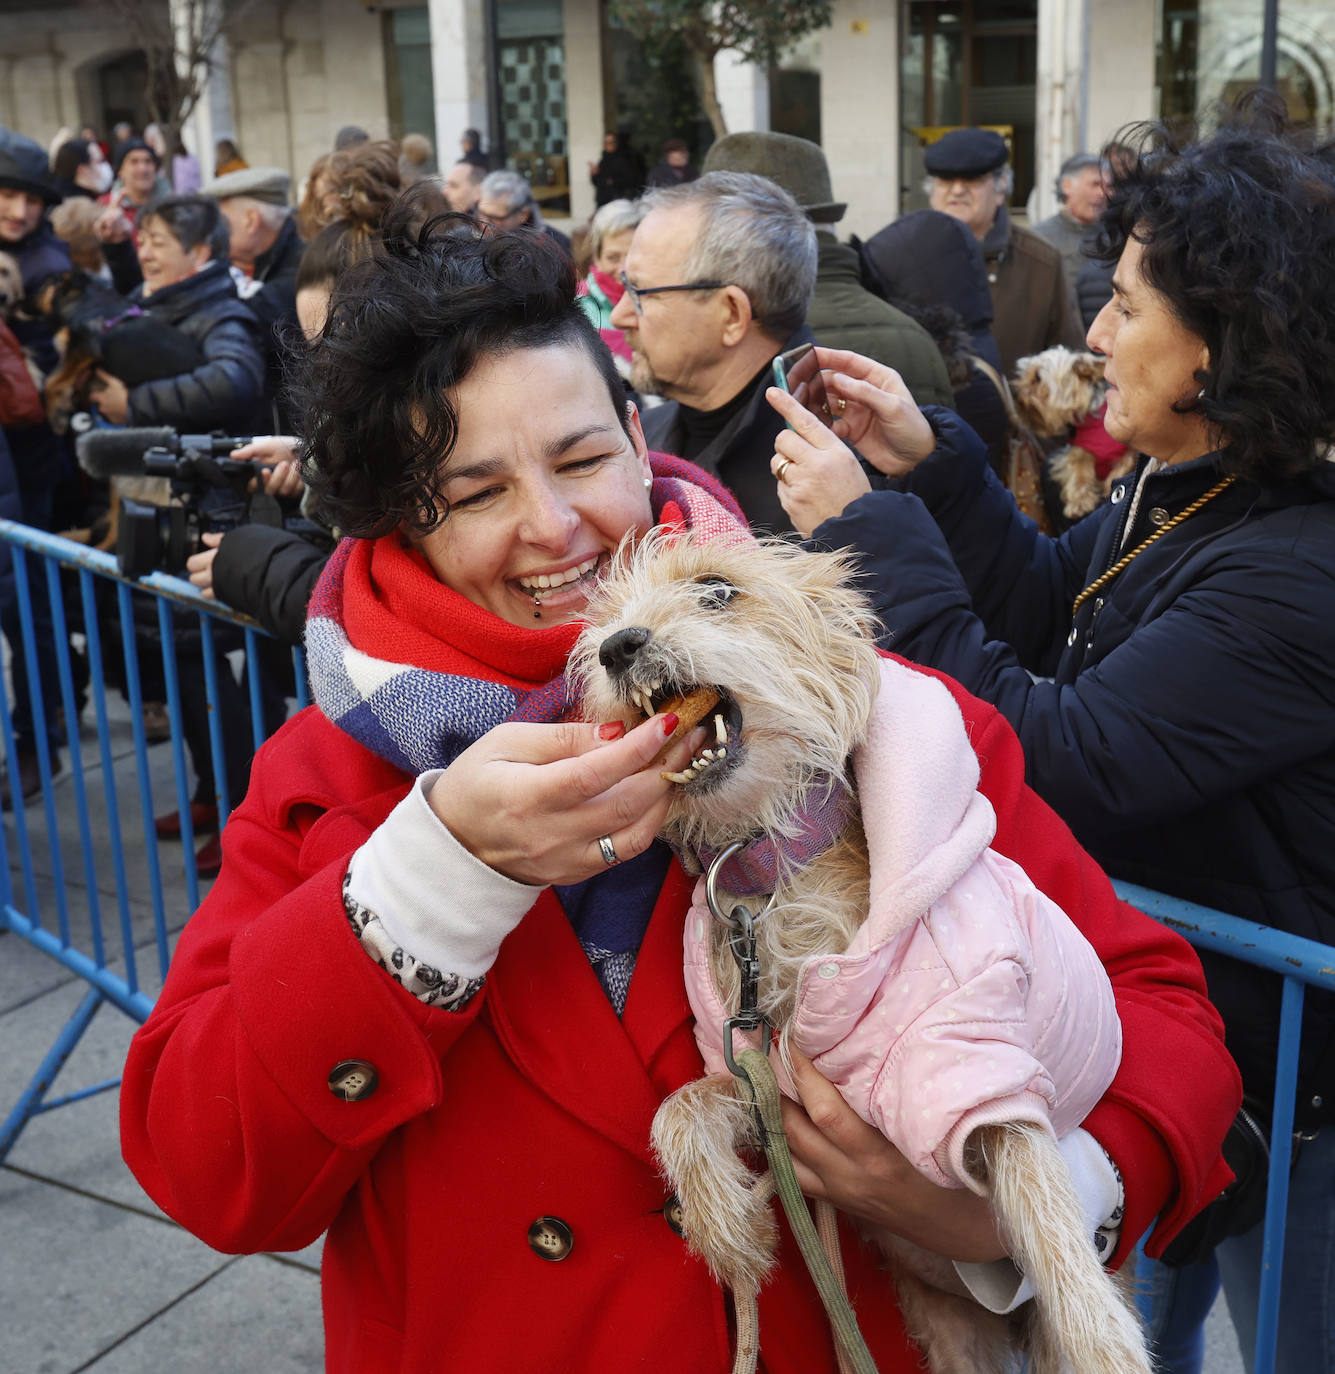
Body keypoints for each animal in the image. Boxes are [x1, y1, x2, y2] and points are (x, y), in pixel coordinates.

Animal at [571, 533, 1148, 1374]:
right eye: (600, 623)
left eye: (717, 590)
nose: (617, 647)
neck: (770, 879)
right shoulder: (760, 1075)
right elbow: (676, 1110)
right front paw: (730, 1228)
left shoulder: (980, 1076)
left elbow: (1044, 1213)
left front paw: (1103, 1347)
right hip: (951, 1329)